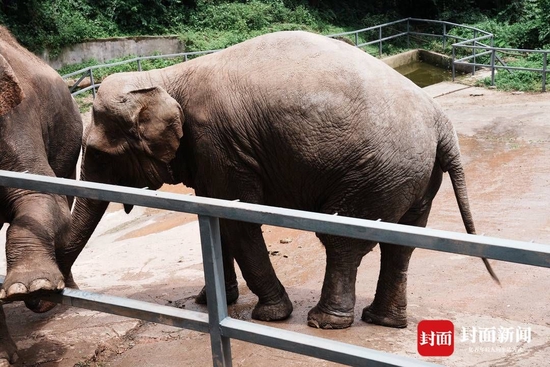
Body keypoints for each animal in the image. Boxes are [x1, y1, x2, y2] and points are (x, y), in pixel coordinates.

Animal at [62, 30, 498, 332]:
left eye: (97, 155)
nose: (65, 286)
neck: (166, 77)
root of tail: (442, 124)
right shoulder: (212, 155)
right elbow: (217, 219)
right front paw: (209, 302)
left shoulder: (219, 143)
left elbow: (238, 221)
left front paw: (270, 315)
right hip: (413, 175)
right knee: (401, 242)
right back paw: (382, 321)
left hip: (376, 172)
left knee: (342, 239)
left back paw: (325, 322)